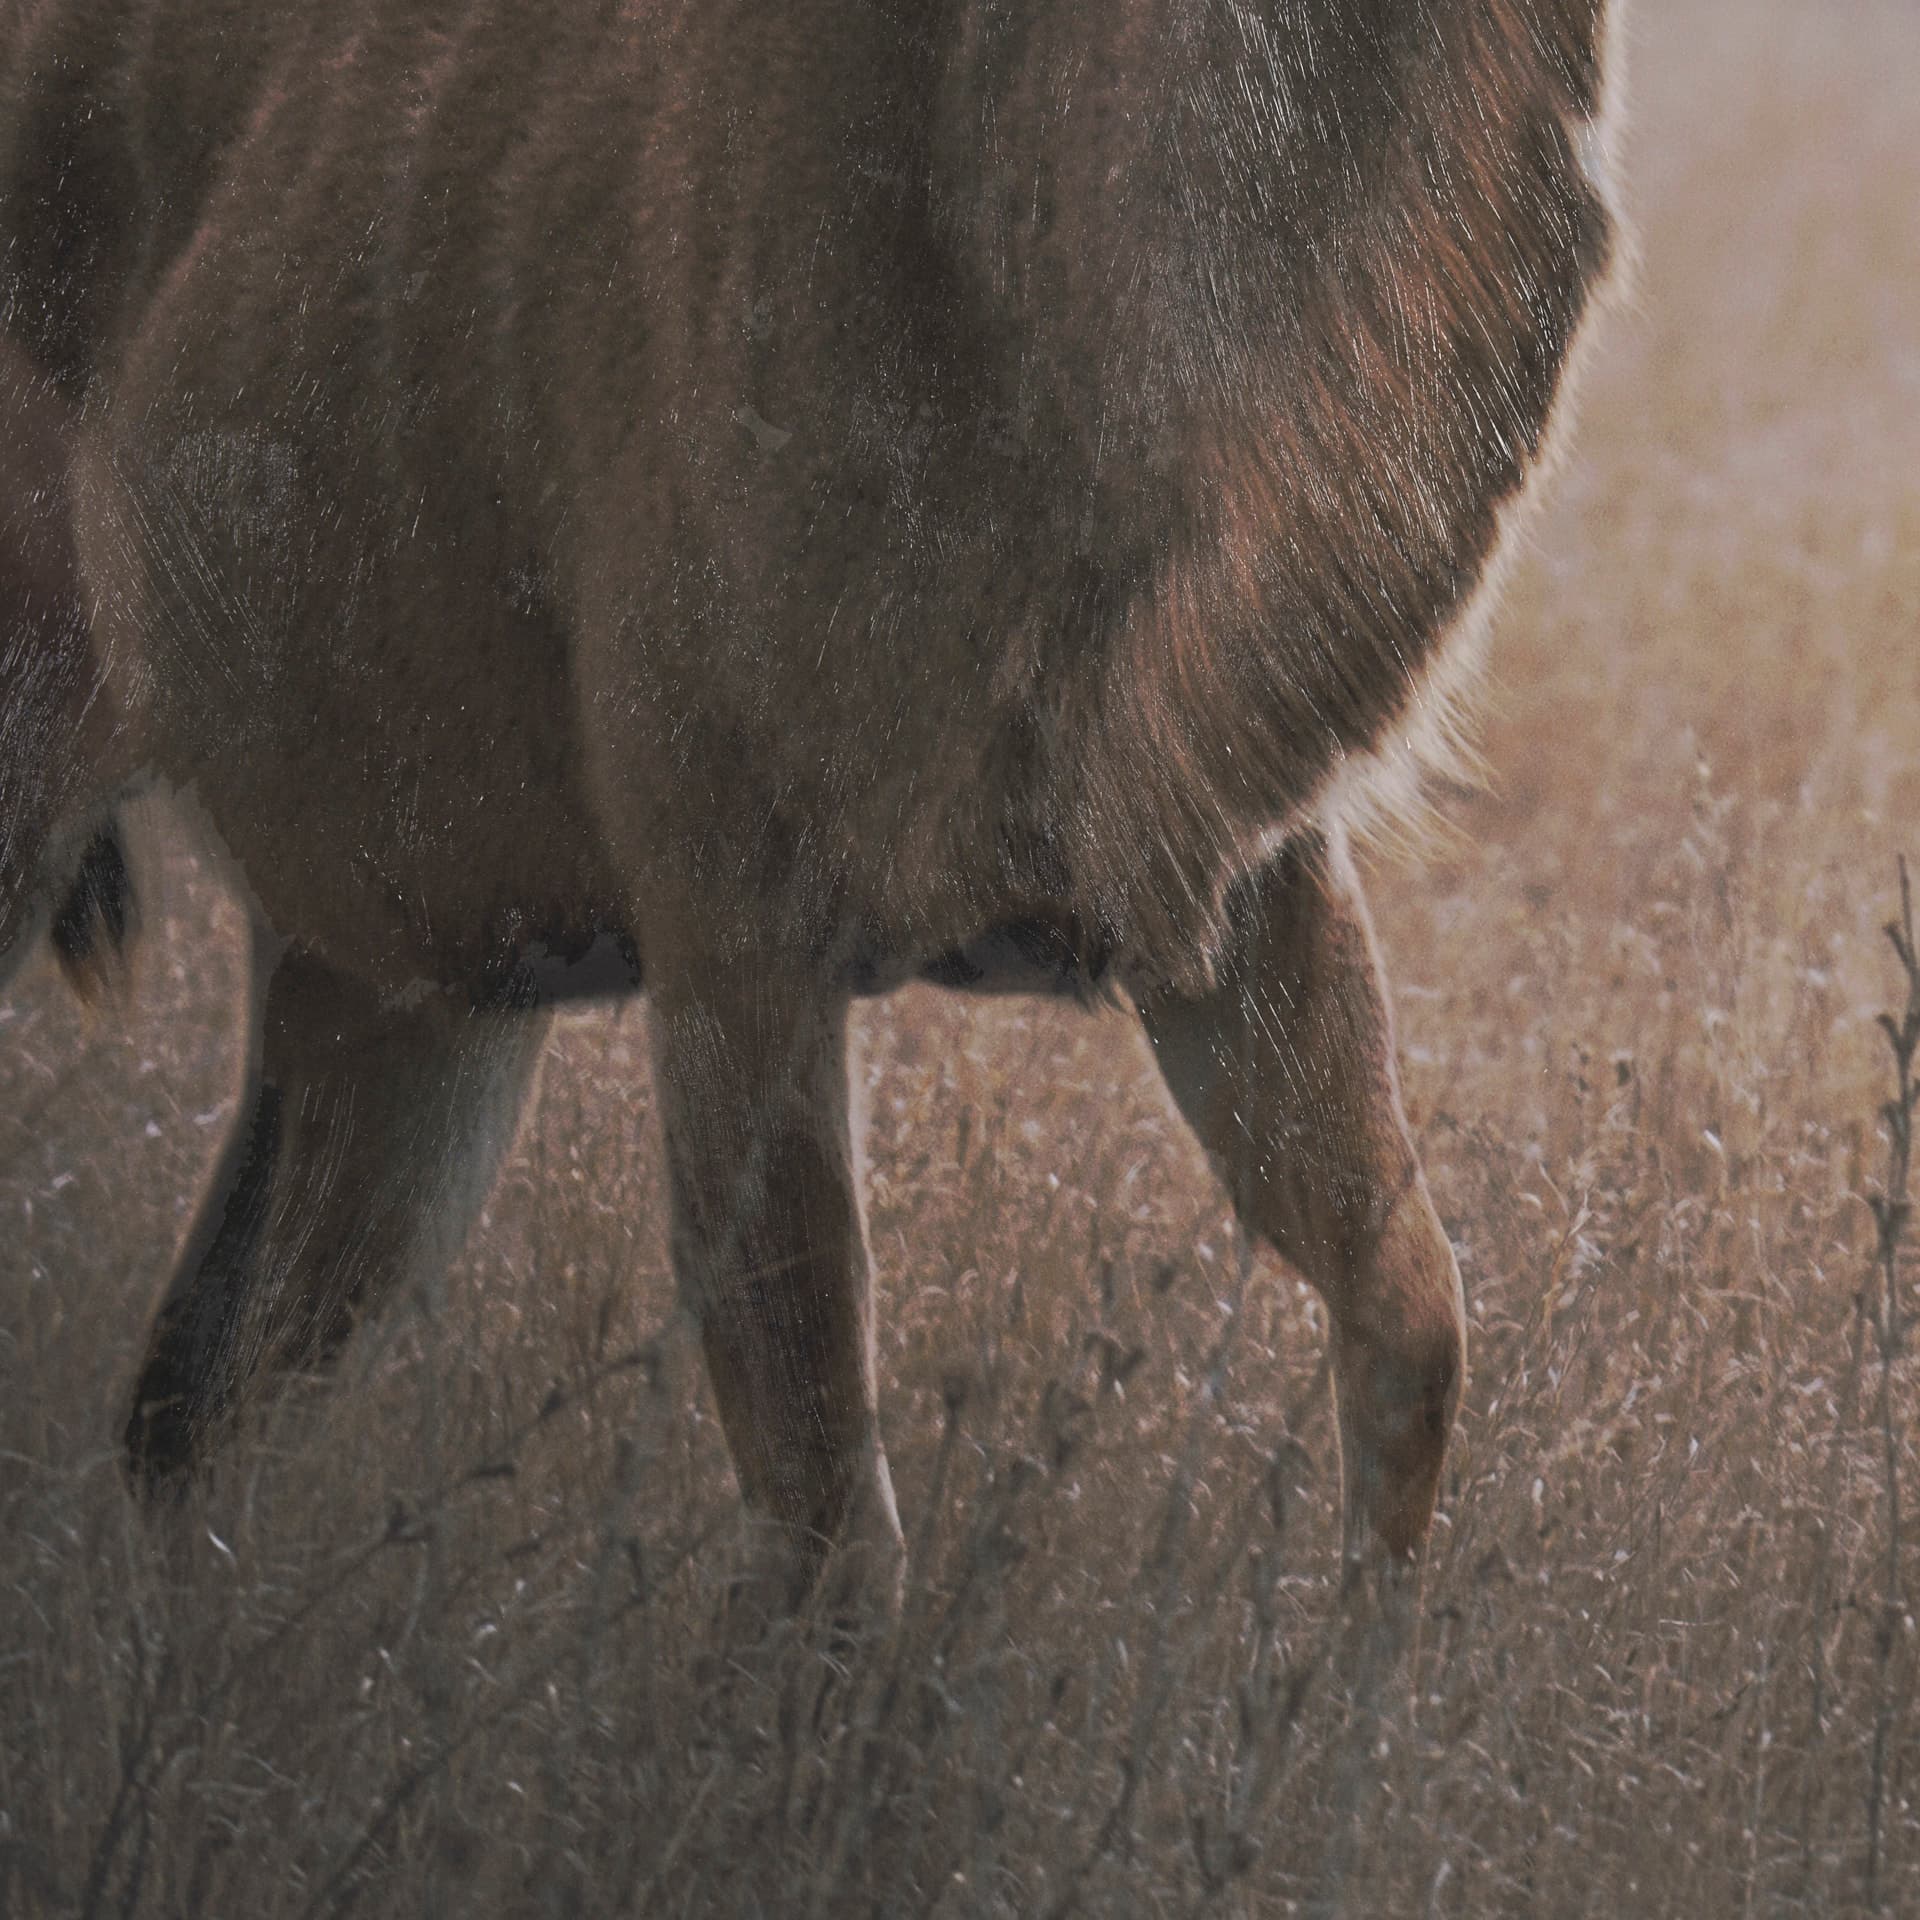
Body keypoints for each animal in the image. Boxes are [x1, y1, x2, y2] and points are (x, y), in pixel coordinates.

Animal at [0, 0, 1619, 1614]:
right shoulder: (730, 916)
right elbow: (834, 1529)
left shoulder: (1231, 874)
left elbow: (1415, 1318)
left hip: (404, 979)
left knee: (186, 1413)